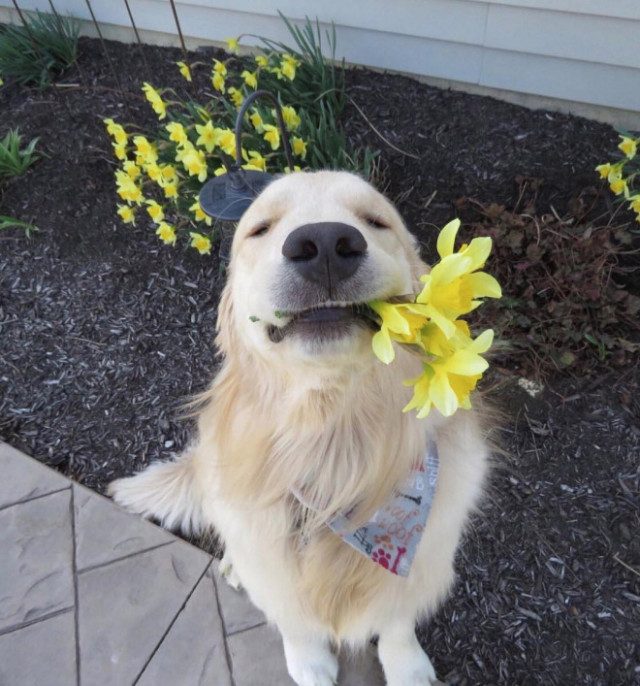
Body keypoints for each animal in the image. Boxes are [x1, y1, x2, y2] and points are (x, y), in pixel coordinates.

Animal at [111, 172, 490, 686]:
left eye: (375, 220)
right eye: (260, 228)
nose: (326, 243)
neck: (333, 450)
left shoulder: (423, 558)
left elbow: (396, 618)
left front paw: (407, 665)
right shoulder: (273, 566)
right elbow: (293, 615)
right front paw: (308, 660)